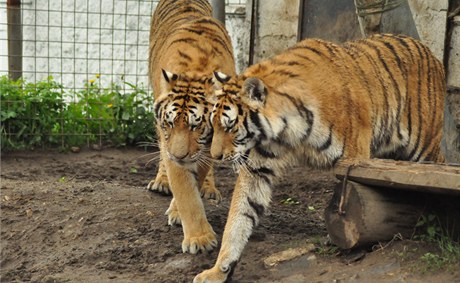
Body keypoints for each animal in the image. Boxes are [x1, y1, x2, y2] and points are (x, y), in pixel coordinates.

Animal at [149, 0, 235, 255]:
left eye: (197, 126)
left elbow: (196, 179)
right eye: (170, 123)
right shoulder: (169, 142)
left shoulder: (205, 147)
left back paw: (209, 188)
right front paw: (200, 239)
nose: (179, 156)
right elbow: (185, 189)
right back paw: (162, 182)